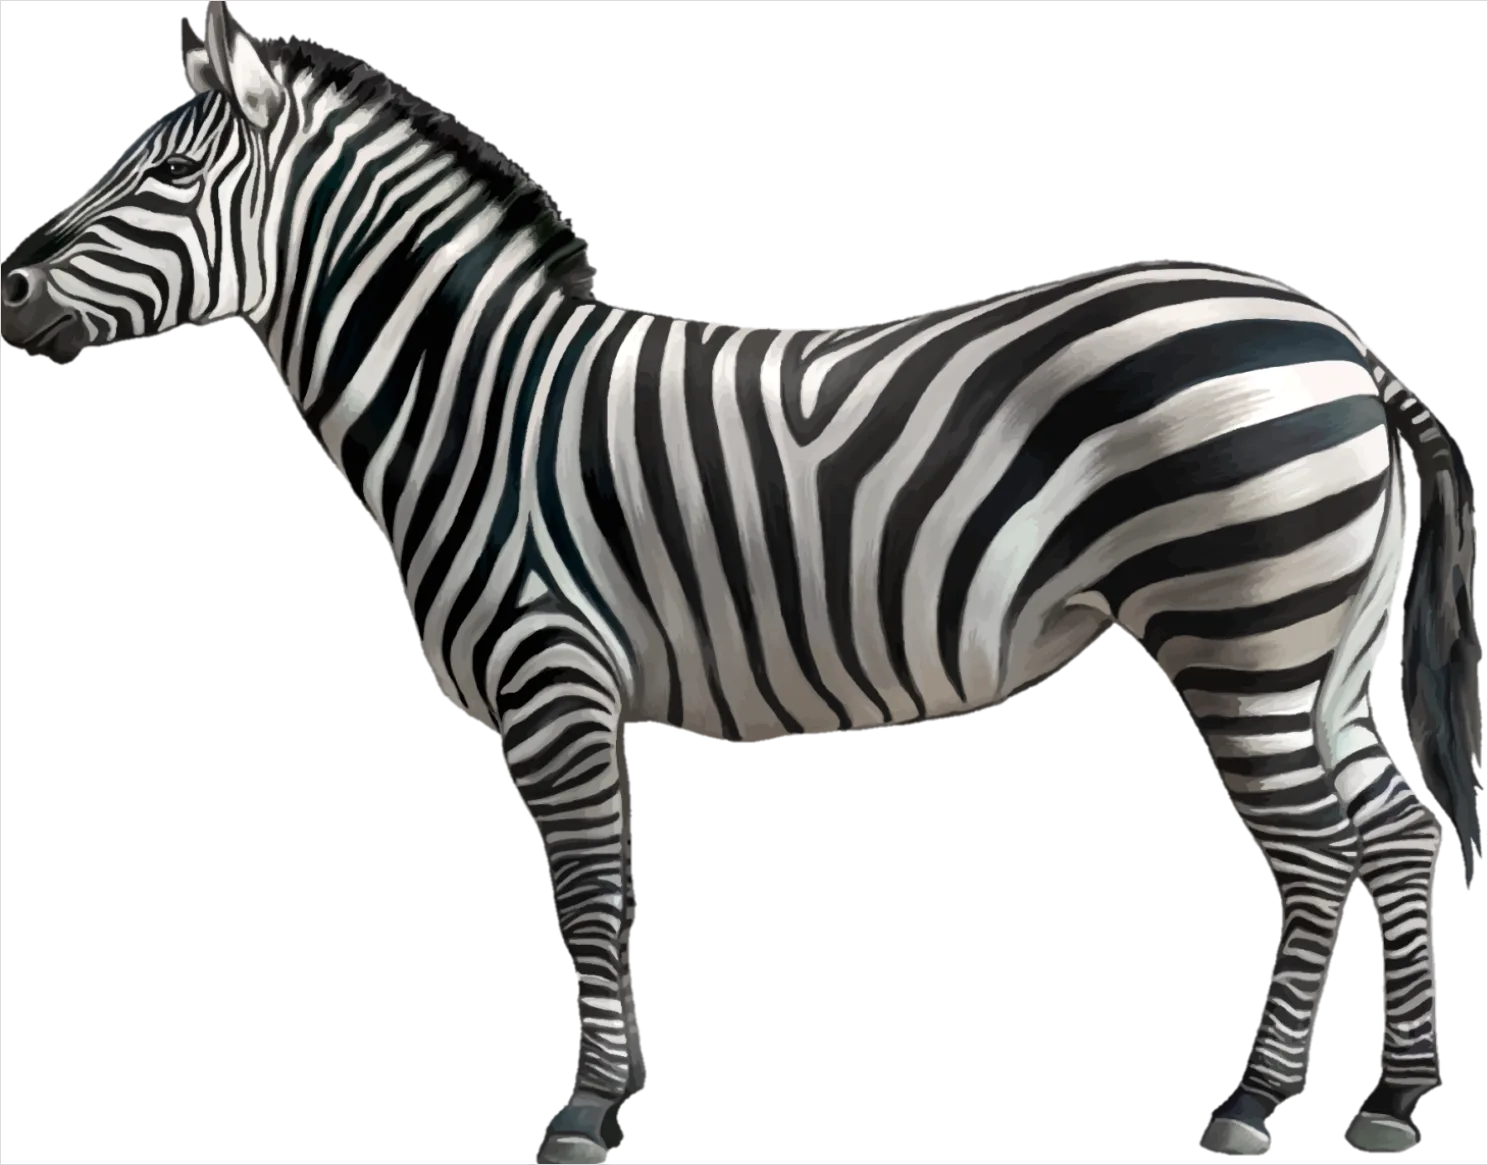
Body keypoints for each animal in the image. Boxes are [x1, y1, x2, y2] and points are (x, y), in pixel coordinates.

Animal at [3, 6, 1480, 1162]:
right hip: (1324, 650)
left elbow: (587, 886)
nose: (8, 290)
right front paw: (616, 1091)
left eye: (168, 176)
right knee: (1402, 833)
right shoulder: (585, 690)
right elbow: (610, 890)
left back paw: (1249, 1108)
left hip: (1241, 635)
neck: (472, 401)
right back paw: (1393, 1100)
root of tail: (1340, 335)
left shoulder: (553, 670)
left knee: (1318, 855)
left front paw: (582, 1113)